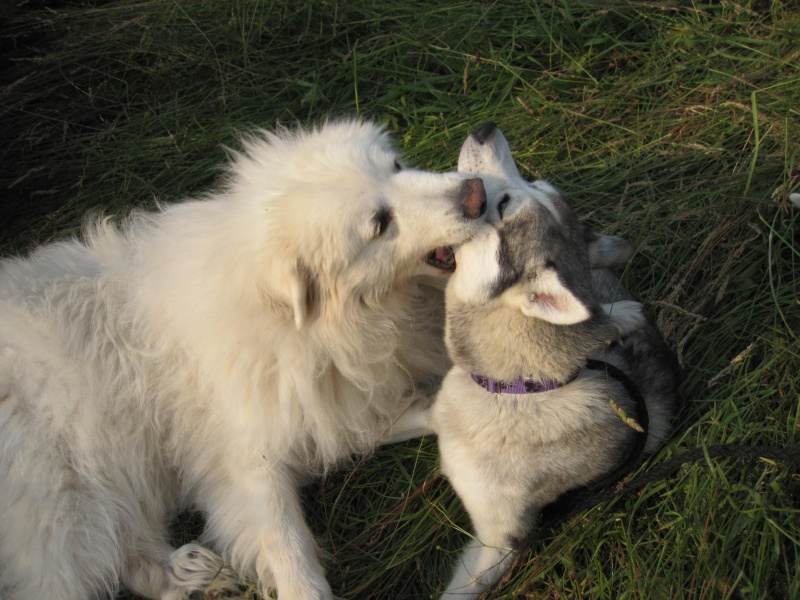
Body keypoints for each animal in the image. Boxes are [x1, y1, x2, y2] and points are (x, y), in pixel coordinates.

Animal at [0, 119, 488, 596]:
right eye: (380, 223)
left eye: (396, 165)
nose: (477, 192)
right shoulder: (247, 464)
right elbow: (291, 557)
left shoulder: (326, 410)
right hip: (64, 515)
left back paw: (191, 576)